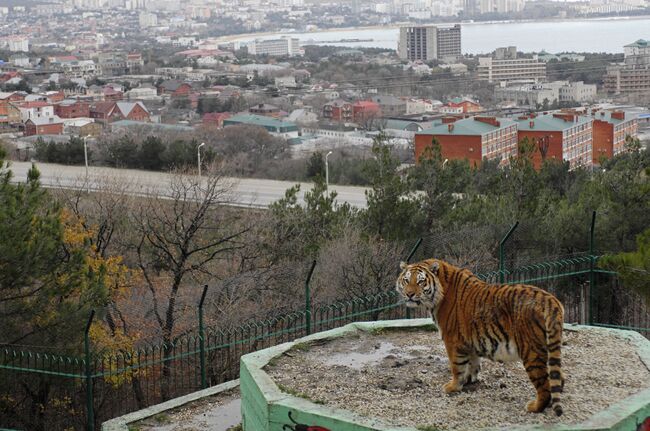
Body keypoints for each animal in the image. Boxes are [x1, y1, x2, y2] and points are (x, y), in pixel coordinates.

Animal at [394, 258, 560, 416]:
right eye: (406, 280)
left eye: (420, 281)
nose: (409, 294)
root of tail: (551, 300)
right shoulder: (470, 339)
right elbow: (472, 362)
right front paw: (469, 380)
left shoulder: (452, 340)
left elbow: (456, 366)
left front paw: (453, 386)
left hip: (531, 351)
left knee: (544, 384)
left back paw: (535, 407)